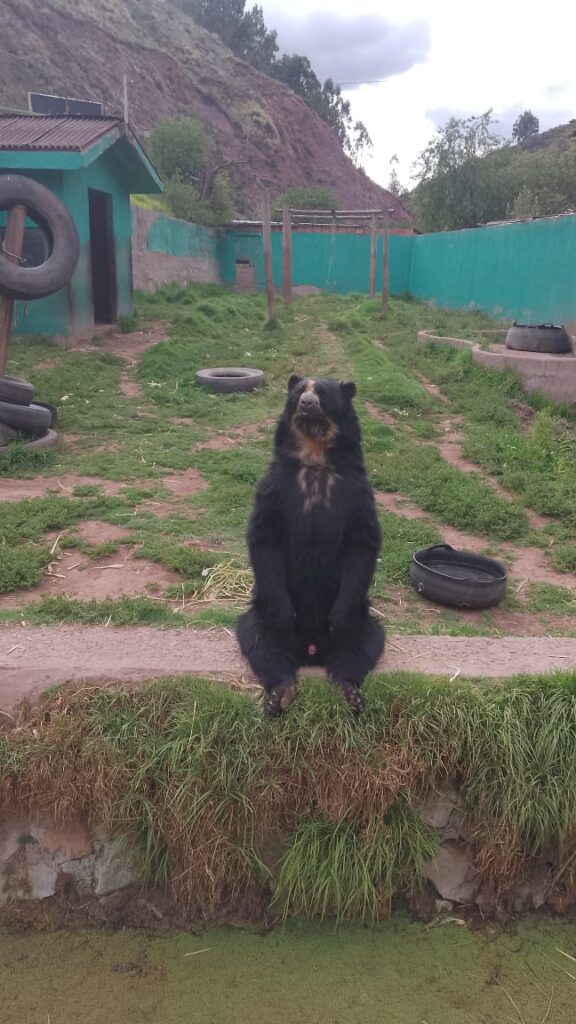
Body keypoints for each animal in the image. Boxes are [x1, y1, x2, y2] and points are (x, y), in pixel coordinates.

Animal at [236, 373, 385, 717]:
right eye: (299, 391)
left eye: (324, 393)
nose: (305, 403)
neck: (315, 458)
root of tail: (311, 652)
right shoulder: (274, 487)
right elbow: (264, 535)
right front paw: (284, 613)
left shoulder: (357, 491)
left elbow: (362, 541)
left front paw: (337, 617)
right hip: (260, 614)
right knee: (261, 644)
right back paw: (280, 693)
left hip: (362, 616)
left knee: (361, 645)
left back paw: (349, 692)